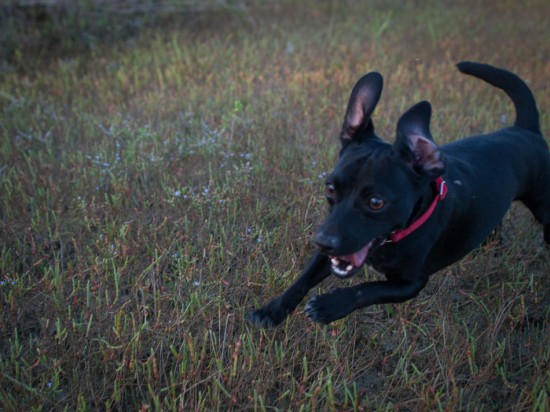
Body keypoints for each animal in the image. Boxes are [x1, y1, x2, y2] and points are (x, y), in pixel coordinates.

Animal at [250, 61, 550, 326]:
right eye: (330, 187)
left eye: (376, 202)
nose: (323, 242)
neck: (393, 238)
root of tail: (524, 129)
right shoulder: (334, 251)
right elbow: (303, 278)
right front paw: (272, 310)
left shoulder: (410, 284)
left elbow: (369, 289)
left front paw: (330, 306)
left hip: (543, 207)